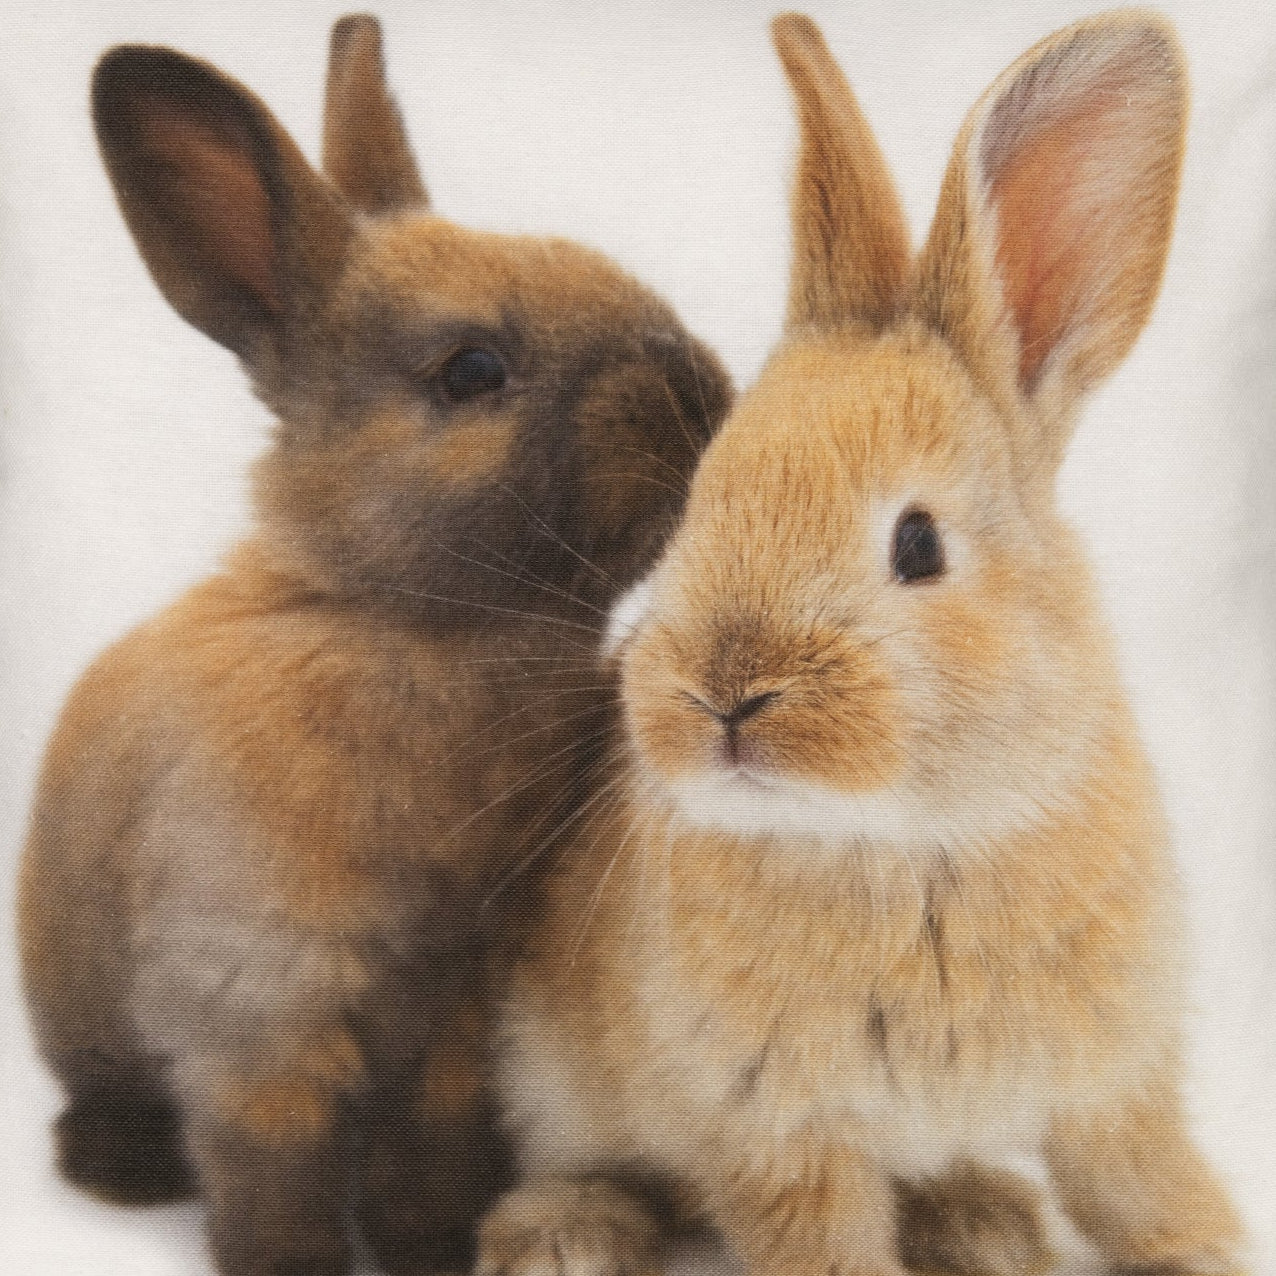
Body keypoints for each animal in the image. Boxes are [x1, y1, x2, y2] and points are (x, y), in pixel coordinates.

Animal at [15, 14, 732, 1276]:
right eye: (471, 372)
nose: (701, 394)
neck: (407, 620)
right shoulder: (260, 996)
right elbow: (271, 1155)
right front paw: (293, 1262)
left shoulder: (456, 1003)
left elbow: (425, 1141)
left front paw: (436, 1241)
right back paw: (117, 1168)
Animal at [475, 10, 1249, 1276]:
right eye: (700, 504)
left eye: (918, 544)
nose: (724, 696)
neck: (911, 842)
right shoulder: (779, 1134)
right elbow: (824, 1240)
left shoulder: (1118, 1081)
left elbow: (1147, 1186)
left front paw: (1203, 1251)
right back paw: (564, 1236)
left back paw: (985, 1222)